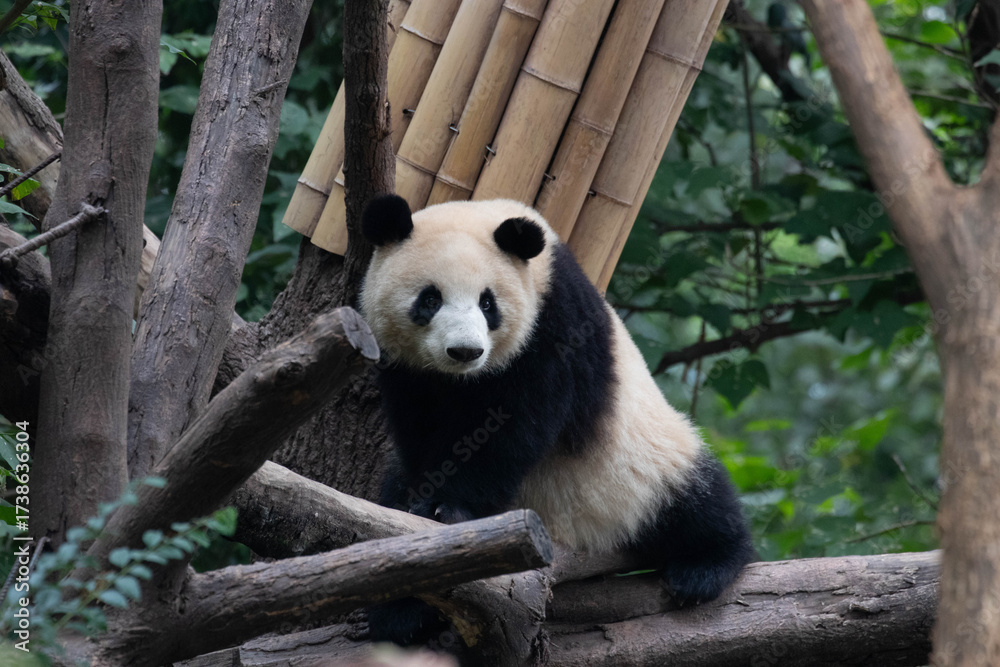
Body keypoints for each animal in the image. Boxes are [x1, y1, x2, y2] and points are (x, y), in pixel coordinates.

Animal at [359, 194, 754, 646]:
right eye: (429, 300)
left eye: (488, 303)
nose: (465, 351)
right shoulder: (407, 371)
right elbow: (418, 438)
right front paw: (428, 505)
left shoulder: (555, 324)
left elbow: (515, 425)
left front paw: (451, 507)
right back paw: (401, 615)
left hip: (641, 466)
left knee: (695, 501)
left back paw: (703, 567)